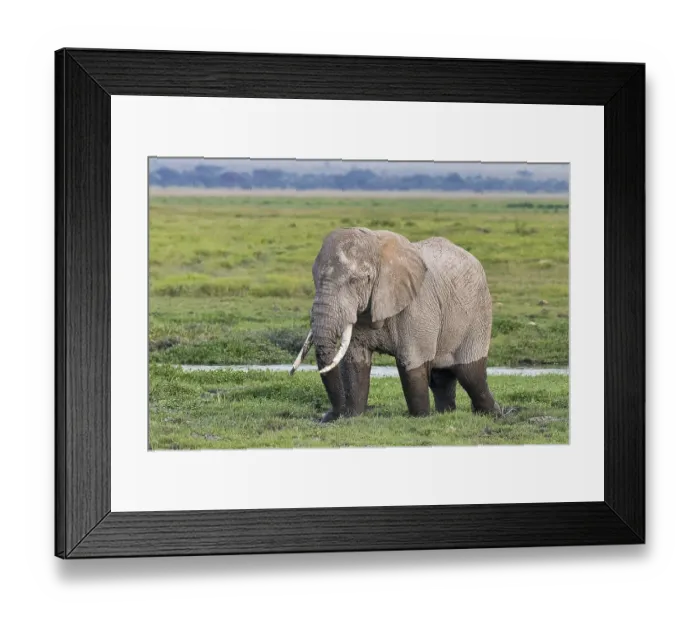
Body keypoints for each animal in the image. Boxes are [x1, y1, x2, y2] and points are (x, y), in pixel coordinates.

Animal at [290, 227, 501, 423]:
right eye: (314, 277)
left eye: (356, 280)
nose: (332, 415)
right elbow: (354, 362)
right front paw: (352, 417)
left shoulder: (417, 305)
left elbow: (412, 361)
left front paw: (420, 417)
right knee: (441, 377)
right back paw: (446, 414)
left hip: (478, 312)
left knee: (471, 375)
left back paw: (493, 414)